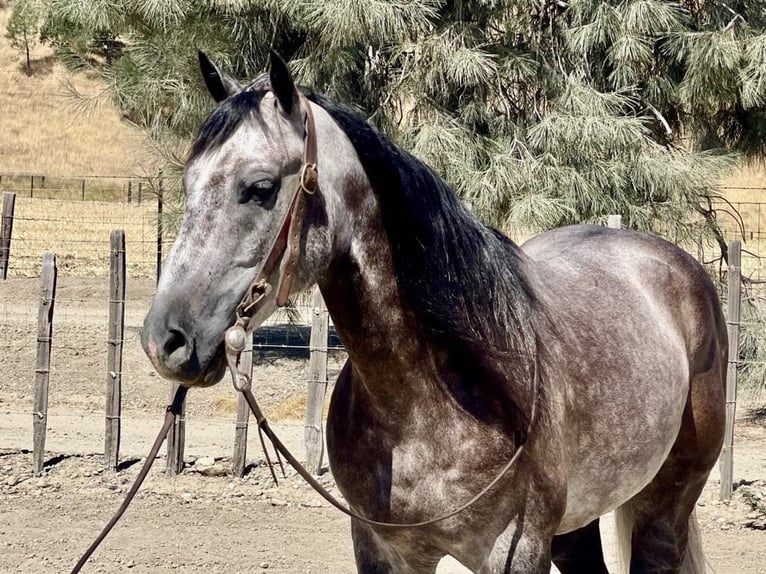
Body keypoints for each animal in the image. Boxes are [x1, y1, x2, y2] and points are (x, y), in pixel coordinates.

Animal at [141, 51, 726, 574]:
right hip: (575, 522)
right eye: (188, 183)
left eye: (260, 188)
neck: (438, 398)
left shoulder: (516, 553)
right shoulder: (385, 551)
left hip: (665, 502)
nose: (163, 341)